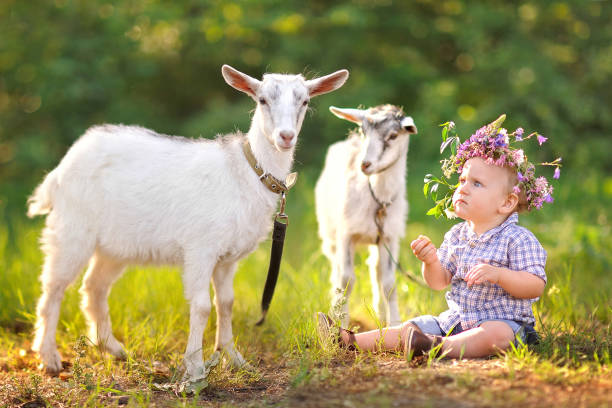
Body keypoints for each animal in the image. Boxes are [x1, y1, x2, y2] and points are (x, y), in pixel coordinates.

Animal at [27, 63, 350, 380]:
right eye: (262, 100)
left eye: (304, 101)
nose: (285, 136)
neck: (246, 171)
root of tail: (64, 164)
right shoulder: (200, 249)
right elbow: (203, 306)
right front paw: (195, 367)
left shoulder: (227, 258)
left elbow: (226, 303)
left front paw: (234, 359)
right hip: (72, 229)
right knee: (53, 288)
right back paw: (49, 357)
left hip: (114, 245)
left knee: (94, 287)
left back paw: (114, 349)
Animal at [316, 104, 416, 326]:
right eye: (364, 132)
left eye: (393, 135)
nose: (365, 164)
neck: (378, 201)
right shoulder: (346, 235)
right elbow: (346, 280)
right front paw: (342, 324)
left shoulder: (389, 238)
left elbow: (389, 283)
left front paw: (395, 323)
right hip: (330, 234)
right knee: (336, 271)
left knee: (374, 270)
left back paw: (381, 315)